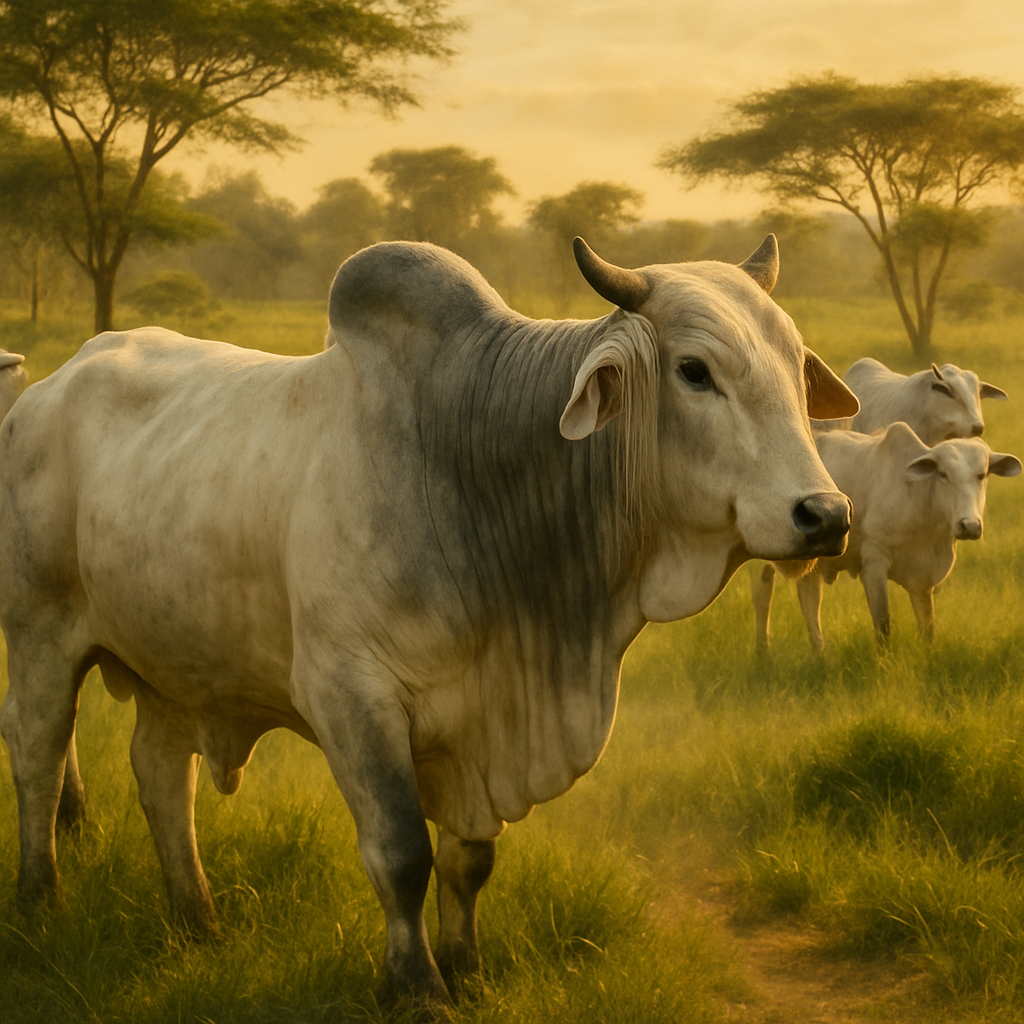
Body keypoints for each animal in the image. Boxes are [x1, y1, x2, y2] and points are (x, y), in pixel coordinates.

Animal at [0, 236, 858, 1005]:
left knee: (159, 776)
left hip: (174, 664)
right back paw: (41, 902)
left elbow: (468, 862)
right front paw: (415, 986)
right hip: (42, 635)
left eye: (796, 368)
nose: (825, 515)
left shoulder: (477, 728)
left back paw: (197, 921)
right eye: (694, 371)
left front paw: (468, 970)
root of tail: (45, 388)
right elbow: (402, 852)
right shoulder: (352, 698)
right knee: (39, 754)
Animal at [753, 423, 1021, 650]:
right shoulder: (874, 561)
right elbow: (883, 623)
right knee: (763, 591)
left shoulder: (923, 578)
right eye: (943, 474)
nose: (969, 525)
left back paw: (819, 653)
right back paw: (763, 651)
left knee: (809, 598)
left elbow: (928, 627)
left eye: (982, 474)